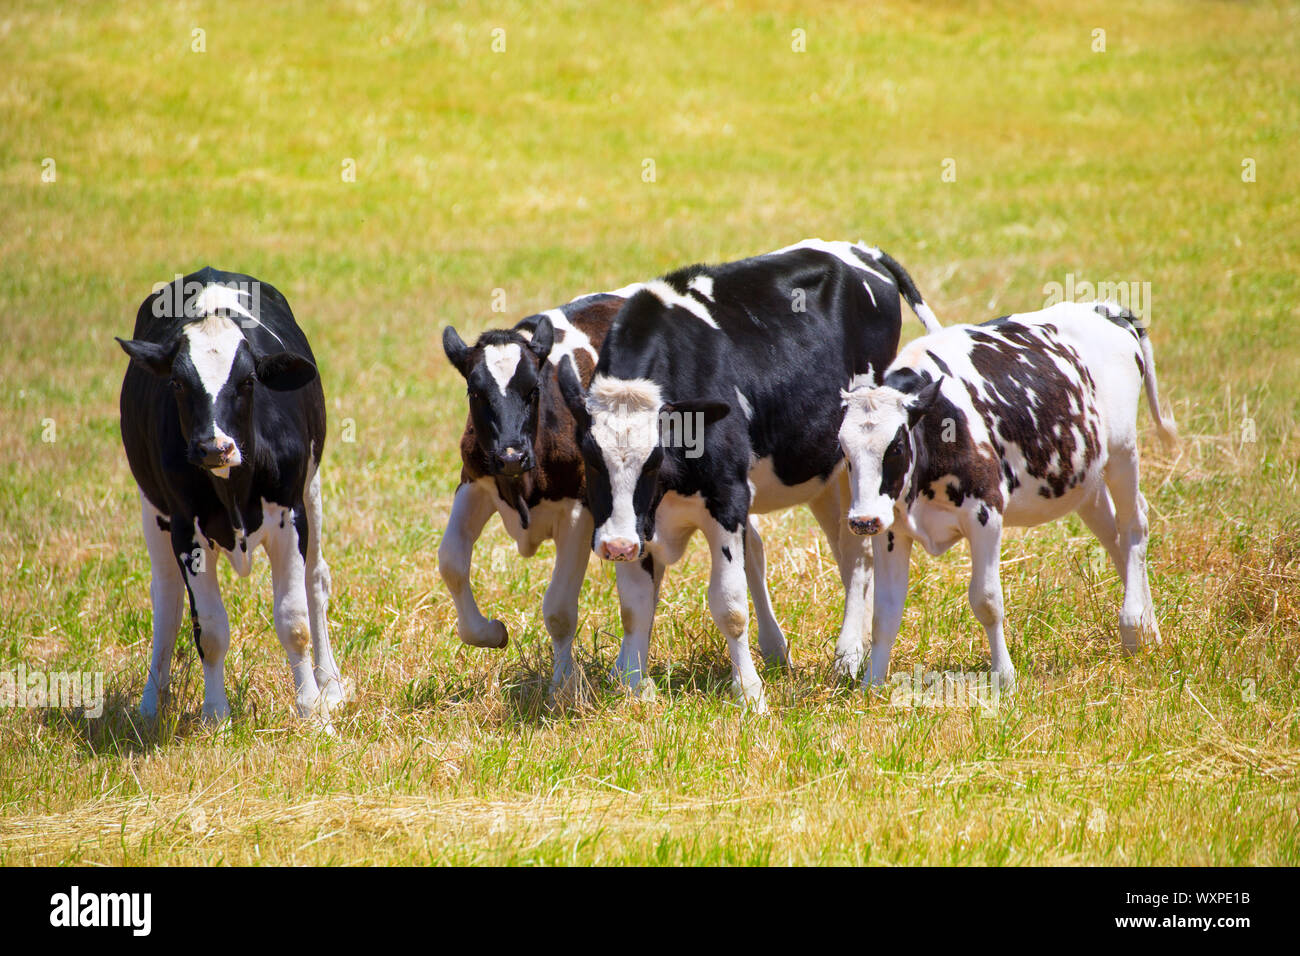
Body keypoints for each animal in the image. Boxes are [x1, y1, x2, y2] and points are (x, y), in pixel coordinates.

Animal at [117, 265, 348, 723]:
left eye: (247, 381)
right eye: (177, 382)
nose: (214, 447)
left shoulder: (291, 514)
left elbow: (295, 621)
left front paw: (313, 712)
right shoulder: (186, 528)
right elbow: (210, 629)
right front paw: (216, 717)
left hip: (311, 491)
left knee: (316, 580)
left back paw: (329, 684)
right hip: (153, 511)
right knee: (166, 599)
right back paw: (151, 703)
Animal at [553, 238, 941, 712]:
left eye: (654, 459)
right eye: (591, 458)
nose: (615, 546)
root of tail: (860, 250)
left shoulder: (727, 498)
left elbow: (730, 605)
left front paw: (751, 694)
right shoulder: (641, 522)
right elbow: (635, 606)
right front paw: (632, 685)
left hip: (860, 465)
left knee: (859, 553)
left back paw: (848, 657)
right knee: (847, 549)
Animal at [837, 299, 1185, 686]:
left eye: (896, 447)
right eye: (844, 451)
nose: (862, 520)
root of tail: (1104, 307)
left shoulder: (985, 514)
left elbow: (986, 601)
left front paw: (1003, 675)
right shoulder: (892, 530)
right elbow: (884, 613)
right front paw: (872, 683)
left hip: (1123, 452)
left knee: (1135, 525)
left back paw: (1132, 623)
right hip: (1085, 475)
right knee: (1115, 536)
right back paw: (1148, 629)